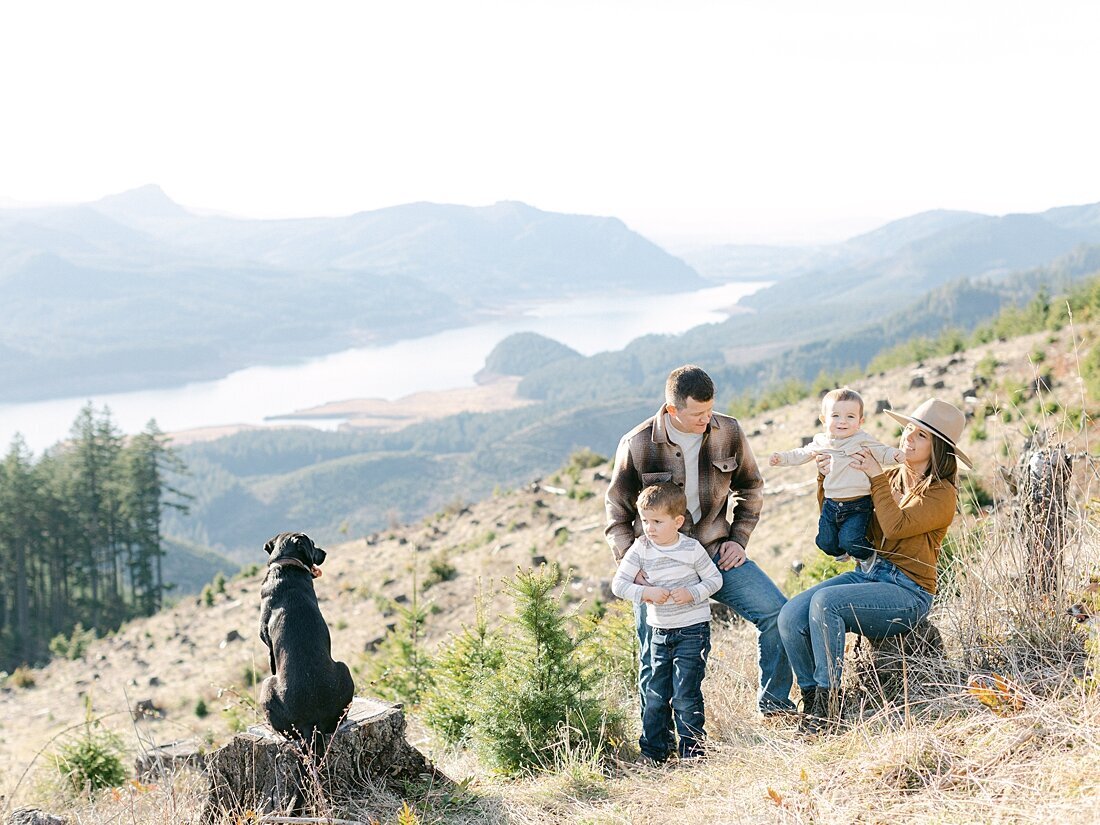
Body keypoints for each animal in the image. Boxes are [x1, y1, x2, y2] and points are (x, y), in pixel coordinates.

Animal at [256, 532, 352, 748]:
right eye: (314, 545)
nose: (324, 552)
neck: (285, 564)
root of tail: (312, 723)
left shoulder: (267, 642)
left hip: (267, 685)